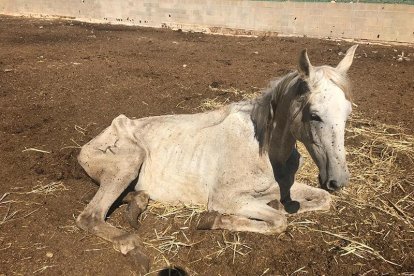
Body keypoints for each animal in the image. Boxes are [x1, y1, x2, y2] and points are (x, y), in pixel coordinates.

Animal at [76, 44, 358, 270]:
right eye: (314, 115)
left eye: (347, 113)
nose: (337, 180)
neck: (265, 152)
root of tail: (88, 145)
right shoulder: (225, 198)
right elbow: (280, 221)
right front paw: (212, 220)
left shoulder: (286, 185)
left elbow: (320, 201)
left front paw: (278, 203)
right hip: (129, 162)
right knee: (90, 216)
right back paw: (131, 244)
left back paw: (137, 205)